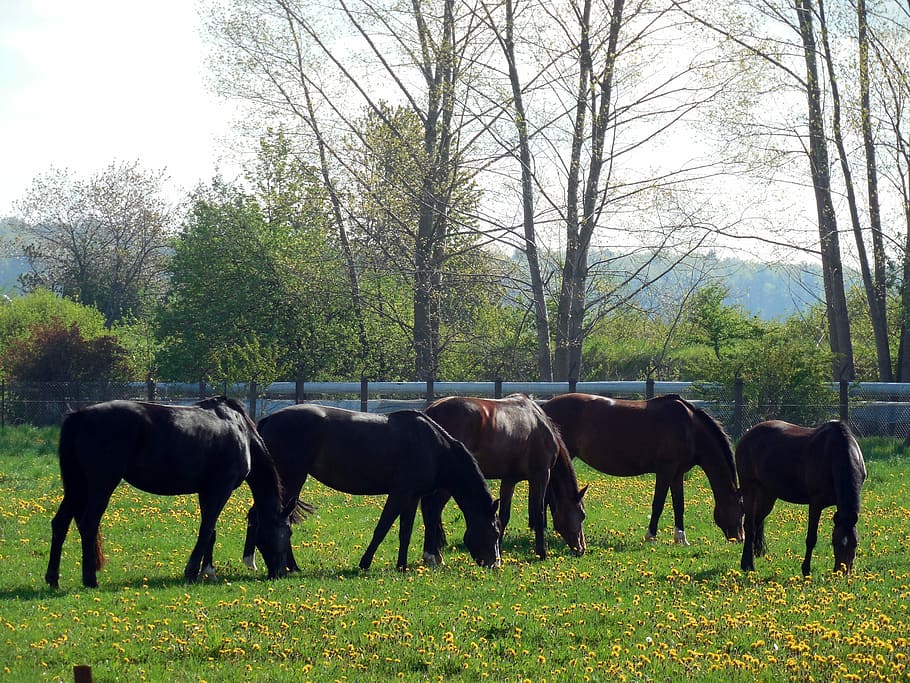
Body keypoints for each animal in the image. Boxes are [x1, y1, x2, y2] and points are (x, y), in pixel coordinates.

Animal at [45, 397, 292, 588]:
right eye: (287, 533)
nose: (281, 572)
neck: (241, 432)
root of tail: (79, 416)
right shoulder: (221, 488)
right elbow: (206, 529)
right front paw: (192, 571)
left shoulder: (206, 490)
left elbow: (211, 531)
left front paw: (208, 571)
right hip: (100, 485)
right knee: (88, 523)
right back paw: (90, 580)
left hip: (77, 486)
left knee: (61, 523)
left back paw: (53, 578)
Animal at [243, 404, 502, 572]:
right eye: (495, 533)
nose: (495, 564)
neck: (434, 448)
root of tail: (268, 419)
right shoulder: (399, 494)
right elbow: (382, 528)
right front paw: (365, 563)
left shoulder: (412, 497)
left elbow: (405, 532)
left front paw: (401, 566)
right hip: (290, 480)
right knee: (273, 518)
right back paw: (287, 566)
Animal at [420, 394, 587, 563]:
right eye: (582, 515)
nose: (581, 549)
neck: (540, 424)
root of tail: (431, 412)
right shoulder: (540, 476)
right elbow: (539, 513)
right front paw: (541, 552)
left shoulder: (509, 479)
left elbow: (503, 516)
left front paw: (498, 550)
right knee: (432, 509)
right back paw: (433, 556)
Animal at [543, 393, 743, 544]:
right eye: (741, 509)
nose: (739, 539)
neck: (689, 428)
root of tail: (544, 408)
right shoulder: (665, 470)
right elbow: (658, 504)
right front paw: (651, 536)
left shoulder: (677, 474)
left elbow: (679, 505)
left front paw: (681, 539)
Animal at [736, 419, 867, 575]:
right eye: (834, 542)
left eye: (855, 543)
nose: (842, 572)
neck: (834, 454)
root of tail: (747, 434)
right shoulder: (816, 504)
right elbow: (811, 538)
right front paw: (806, 570)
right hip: (749, 489)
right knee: (749, 526)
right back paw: (747, 565)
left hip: (767, 495)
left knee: (757, 522)